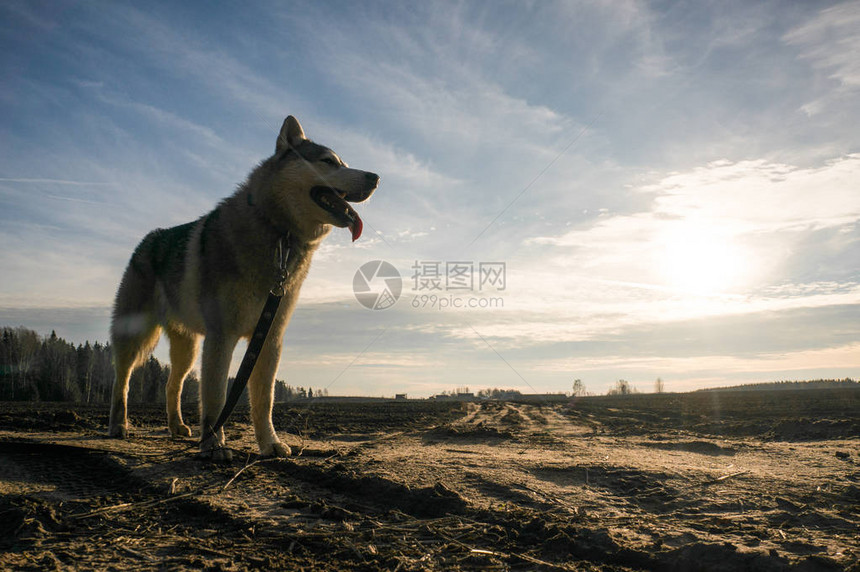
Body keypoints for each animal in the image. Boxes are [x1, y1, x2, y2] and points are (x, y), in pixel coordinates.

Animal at [107, 116, 380, 460]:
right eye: (329, 161)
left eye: (343, 162)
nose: (375, 177)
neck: (277, 231)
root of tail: (146, 240)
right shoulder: (221, 336)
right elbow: (216, 397)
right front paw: (213, 445)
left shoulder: (269, 338)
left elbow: (263, 401)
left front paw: (270, 444)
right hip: (136, 334)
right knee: (122, 379)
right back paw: (119, 426)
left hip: (187, 348)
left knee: (172, 383)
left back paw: (177, 428)